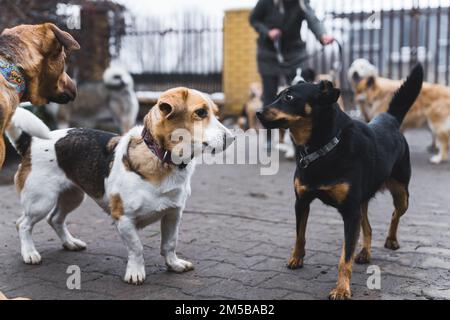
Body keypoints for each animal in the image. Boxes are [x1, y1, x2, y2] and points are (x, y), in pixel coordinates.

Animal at [6, 87, 236, 284]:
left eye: (215, 113)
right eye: (200, 113)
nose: (233, 138)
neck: (161, 158)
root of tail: (30, 143)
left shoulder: (173, 214)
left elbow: (170, 244)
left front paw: (173, 264)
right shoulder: (123, 219)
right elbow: (137, 248)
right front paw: (135, 273)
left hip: (72, 196)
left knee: (55, 219)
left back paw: (70, 243)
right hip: (41, 201)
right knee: (22, 224)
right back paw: (29, 253)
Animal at [255, 63, 424, 298]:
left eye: (289, 97)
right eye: (277, 95)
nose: (257, 112)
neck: (323, 147)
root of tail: (388, 120)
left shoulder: (350, 212)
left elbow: (345, 258)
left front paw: (342, 288)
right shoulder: (302, 202)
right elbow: (300, 235)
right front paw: (296, 258)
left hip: (401, 194)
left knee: (394, 214)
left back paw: (391, 240)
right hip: (362, 202)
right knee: (368, 228)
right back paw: (365, 252)